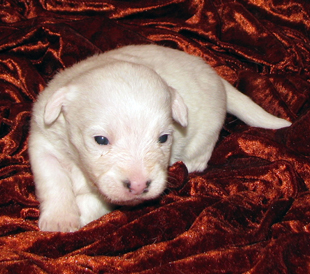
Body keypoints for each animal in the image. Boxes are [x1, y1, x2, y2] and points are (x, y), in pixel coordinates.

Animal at [28, 44, 290, 231]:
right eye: (100, 140)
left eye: (163, 138)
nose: (139, 186)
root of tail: (219, 80)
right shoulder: (43, 141)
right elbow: (53, 180)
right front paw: (60, 218)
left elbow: (96, 199)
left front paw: (80, 213)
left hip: (206, 134)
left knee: (202, 154)